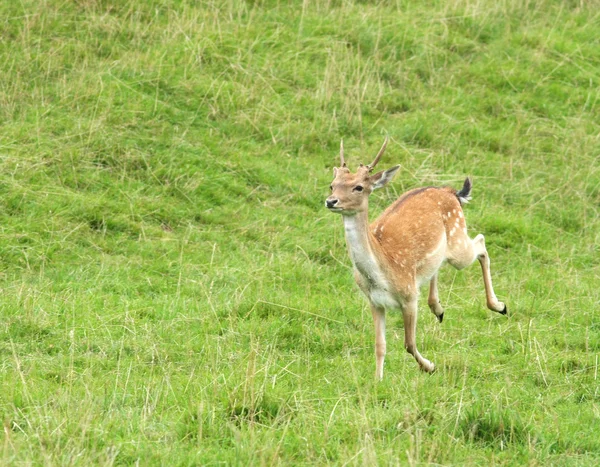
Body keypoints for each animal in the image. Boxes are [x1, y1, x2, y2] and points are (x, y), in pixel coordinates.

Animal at [326, 137, 504, 378]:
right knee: (440, 265)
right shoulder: (374, 301)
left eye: (359, 187)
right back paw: (438, 309)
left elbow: (409, 343)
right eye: (332, 184)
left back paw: (499, 306)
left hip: (458, 245)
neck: (381, 274)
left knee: (481, 243)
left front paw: (429, 366)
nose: (331, 201)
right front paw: (377, 380)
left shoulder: (409, 297)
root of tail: (451, 192)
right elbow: (379, 345)